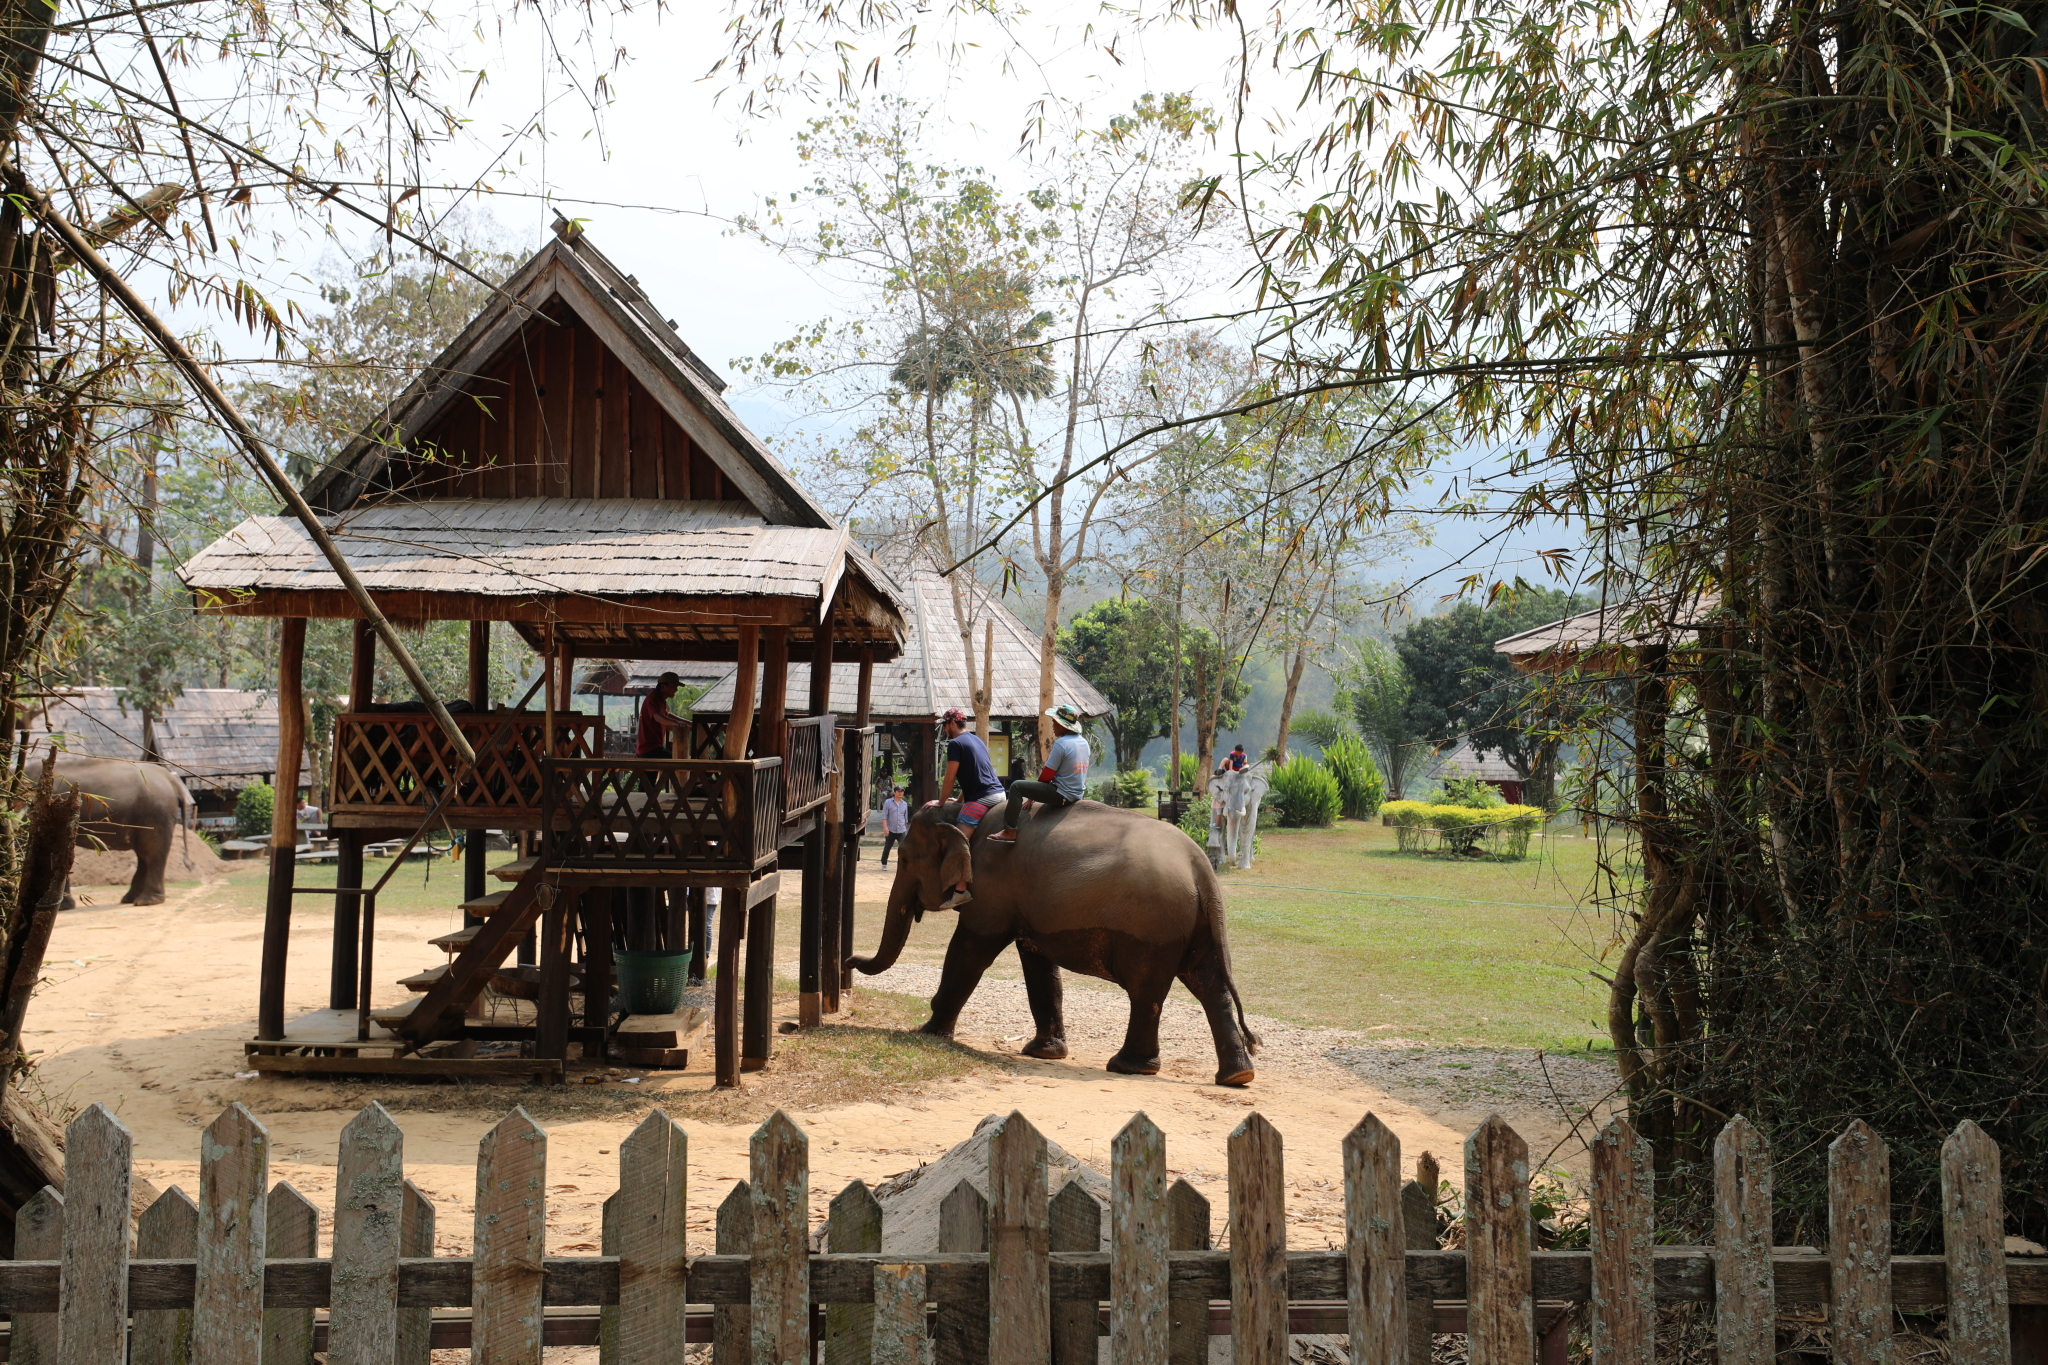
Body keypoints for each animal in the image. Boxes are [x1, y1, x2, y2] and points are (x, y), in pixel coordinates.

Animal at [48, 757, 193, 908]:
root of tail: (170, 778)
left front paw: (62, 907)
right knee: (144, 854)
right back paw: (131, 899)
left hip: (157, 812)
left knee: (152, 852)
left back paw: (146, 901)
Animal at [847, 802, 1261, 1088]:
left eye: (903, 860)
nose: (849, 959)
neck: (963, 809)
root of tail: (1202, 868)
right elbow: (1038, 966)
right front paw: (1044, 1053)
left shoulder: (993, 888)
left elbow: (969, 950)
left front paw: (927, 1032)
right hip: (1194, 925)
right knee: (1211, 987)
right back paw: (1236, 1077)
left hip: (1155, 926)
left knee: (1147, 992)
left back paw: (1128, 1066)